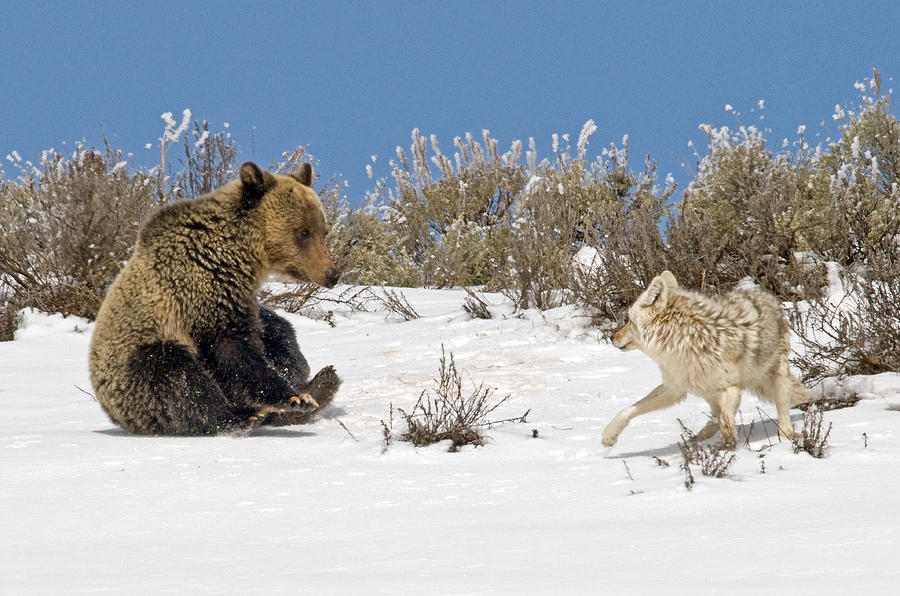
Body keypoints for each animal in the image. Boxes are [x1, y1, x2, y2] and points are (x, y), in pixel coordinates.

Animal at [89, 161, 342, 436]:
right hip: (134, 363)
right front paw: (292, 398)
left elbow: (271, 334)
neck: (238, 257)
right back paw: (241, 416)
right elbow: (234, 353)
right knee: (173, 375)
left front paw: (303, 387)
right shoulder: (198, 291)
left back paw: (321, 383)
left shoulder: (238, 298)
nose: (332, 273)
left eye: (323, 230)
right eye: (303, 231)